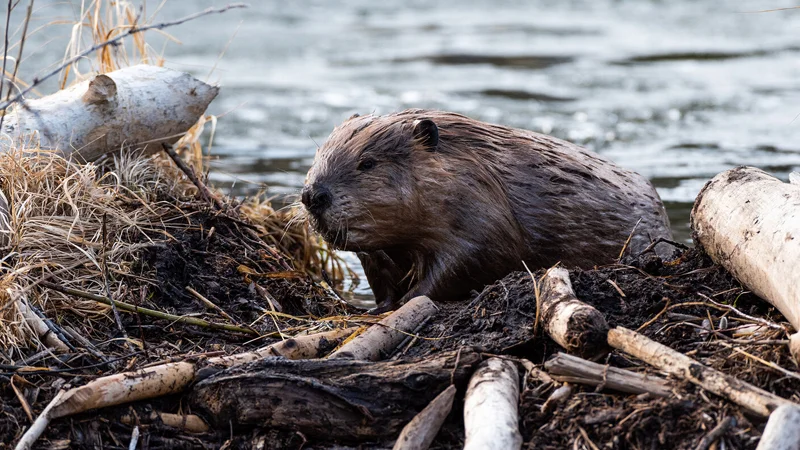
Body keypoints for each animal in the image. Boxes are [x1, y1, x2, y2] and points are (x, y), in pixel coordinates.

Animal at [304, 110, 672, 312]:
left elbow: (469, 260)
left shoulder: (482, 216)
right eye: (318, 154)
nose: (312, 195)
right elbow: (380, 274)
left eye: (367, 162)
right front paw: (376, 308)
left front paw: (410, 299)